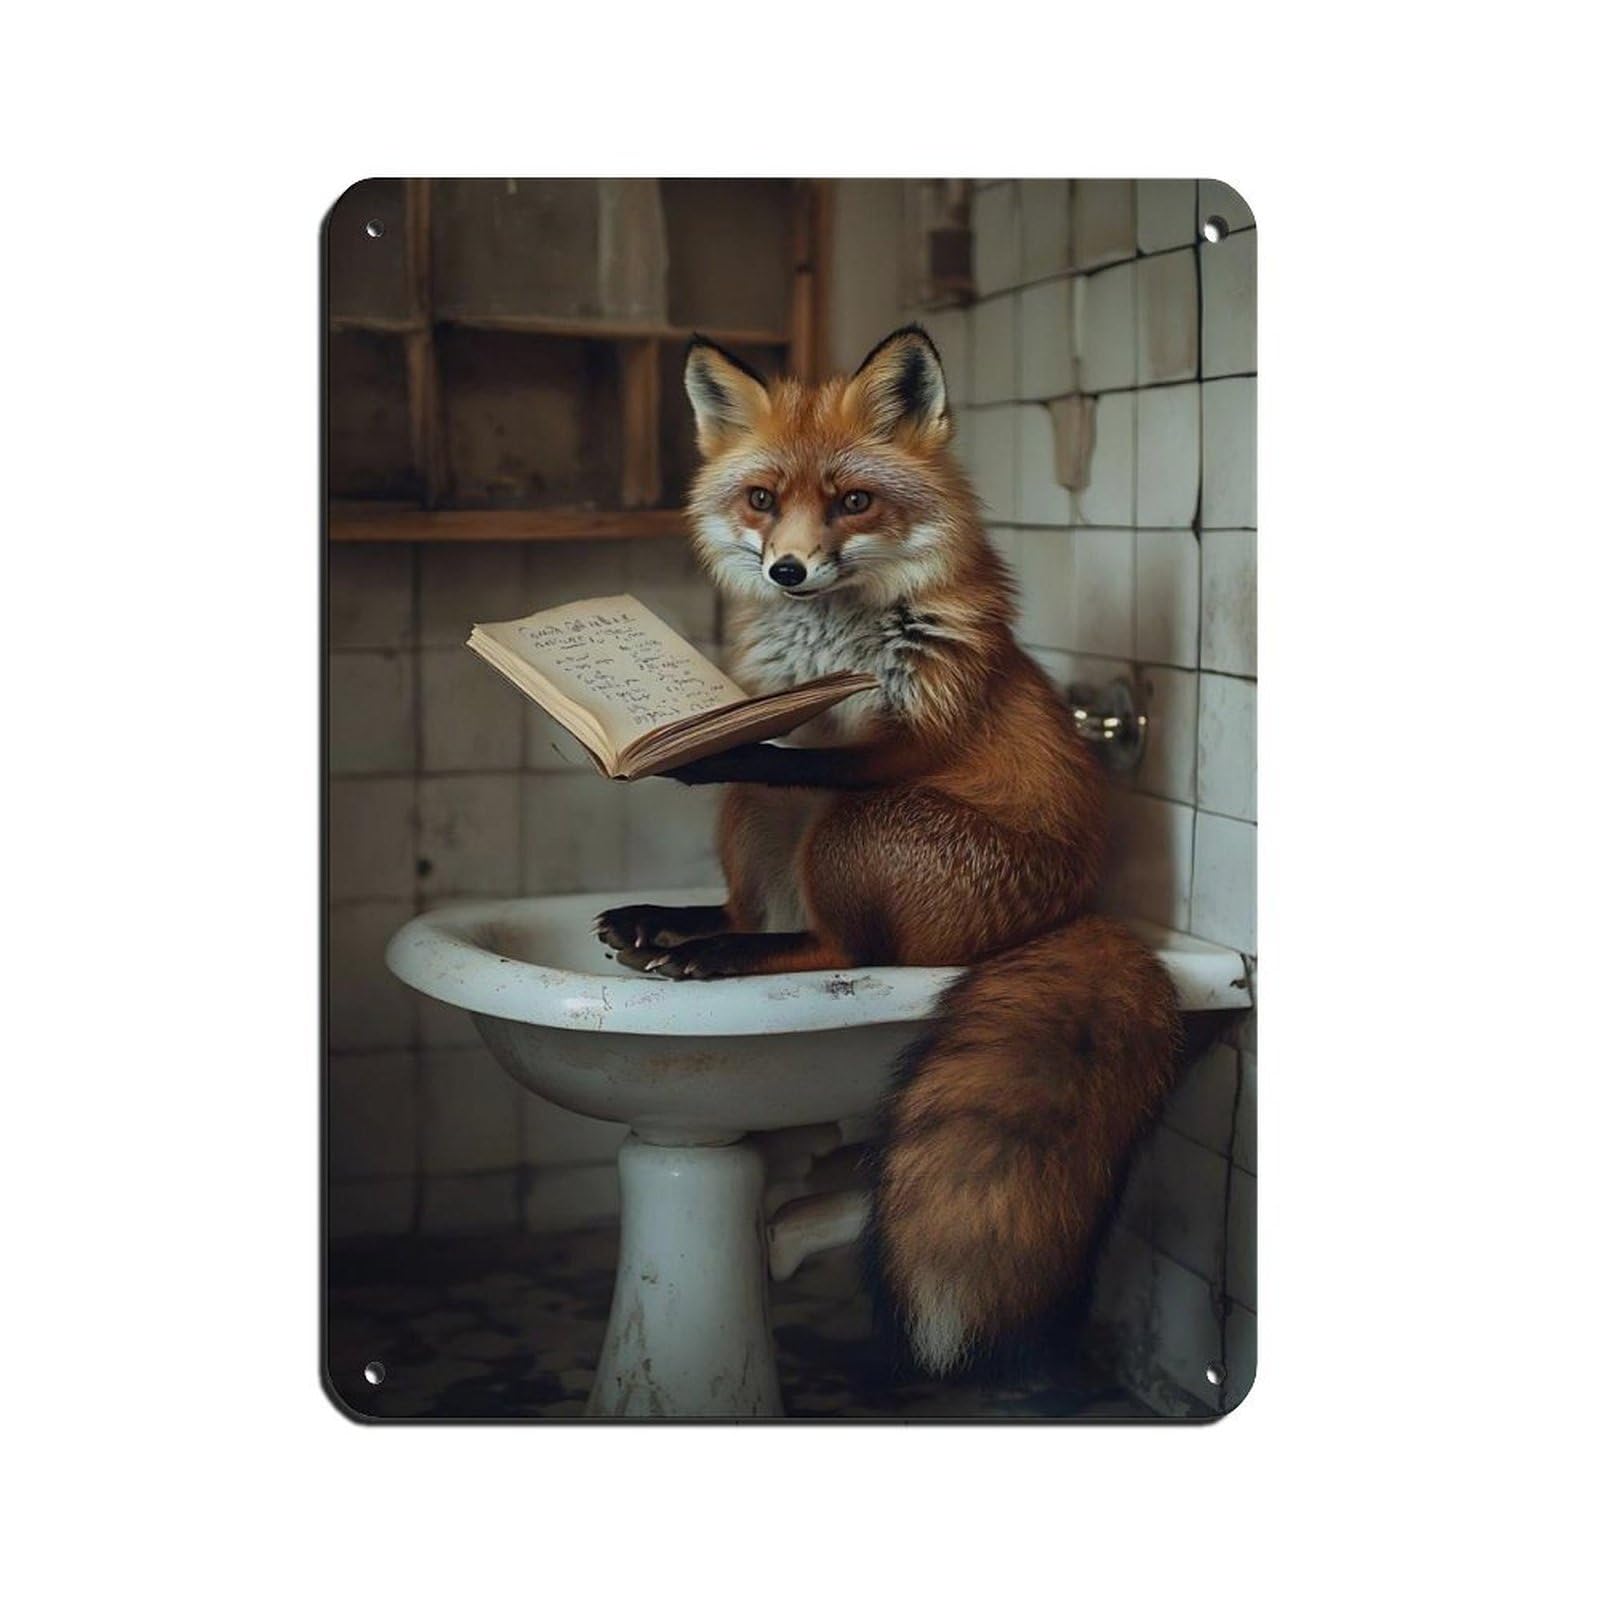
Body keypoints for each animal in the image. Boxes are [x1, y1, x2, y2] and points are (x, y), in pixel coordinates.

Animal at [594, 325, 1181, 1377]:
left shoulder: (910, 739)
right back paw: (671, 928)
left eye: (855, 502)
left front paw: (725, 743)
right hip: (755, 828)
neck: (831, 649)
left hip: (855, 828)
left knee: (845, 947)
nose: (787, 570)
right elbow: (781, 762)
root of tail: (1073, 913)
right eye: (761, 500)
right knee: (757, 909)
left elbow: (792, 758)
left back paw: (714, 954)